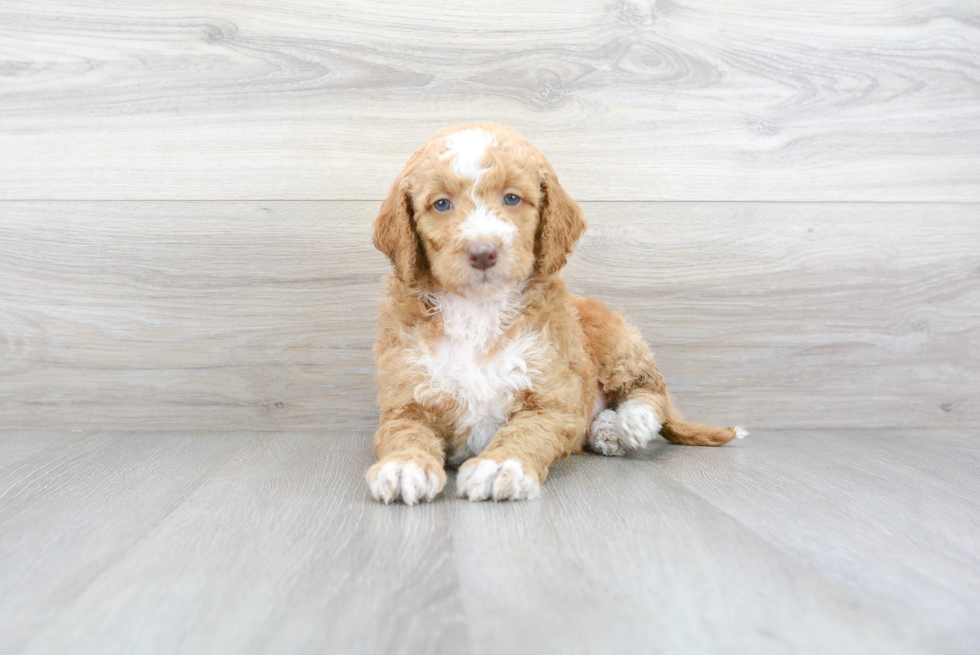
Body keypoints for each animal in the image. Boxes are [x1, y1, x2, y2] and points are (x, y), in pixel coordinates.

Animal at [366, 123, 744, 504]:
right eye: (441, 204)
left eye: (512, 199)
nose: (483, 252)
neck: (480, 309)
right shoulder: (407, 399)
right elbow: (404, 433)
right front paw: (404, 466)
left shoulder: (552, 398)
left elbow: (527, 432)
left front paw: (500, 467)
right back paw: (606, 430)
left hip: (615, 339)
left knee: (651, 388)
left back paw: (632, 420)